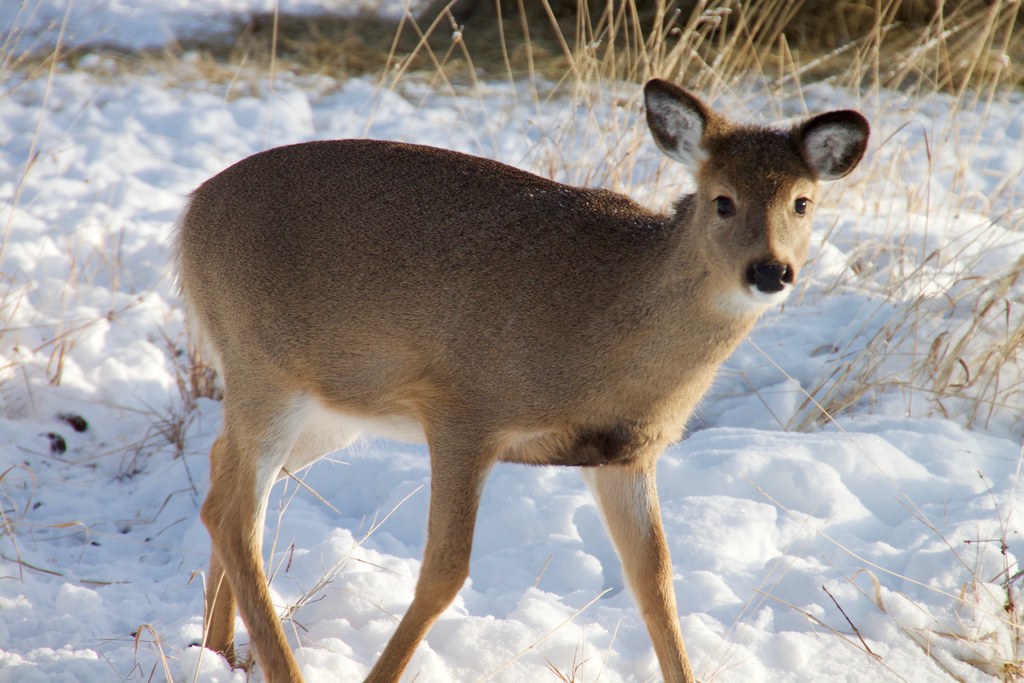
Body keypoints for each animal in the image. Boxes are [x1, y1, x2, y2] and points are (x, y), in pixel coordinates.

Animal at [175, 79, 868, 683]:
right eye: (722, 199)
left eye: (802, 202)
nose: (771, 271)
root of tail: (189, 215)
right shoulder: (464, 409)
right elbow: (444, 573)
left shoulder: (625, 455)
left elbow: (656, 582)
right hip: (264, 368)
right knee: (235, 515)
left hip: (332, 409)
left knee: (219, 475)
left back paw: (217, 650)